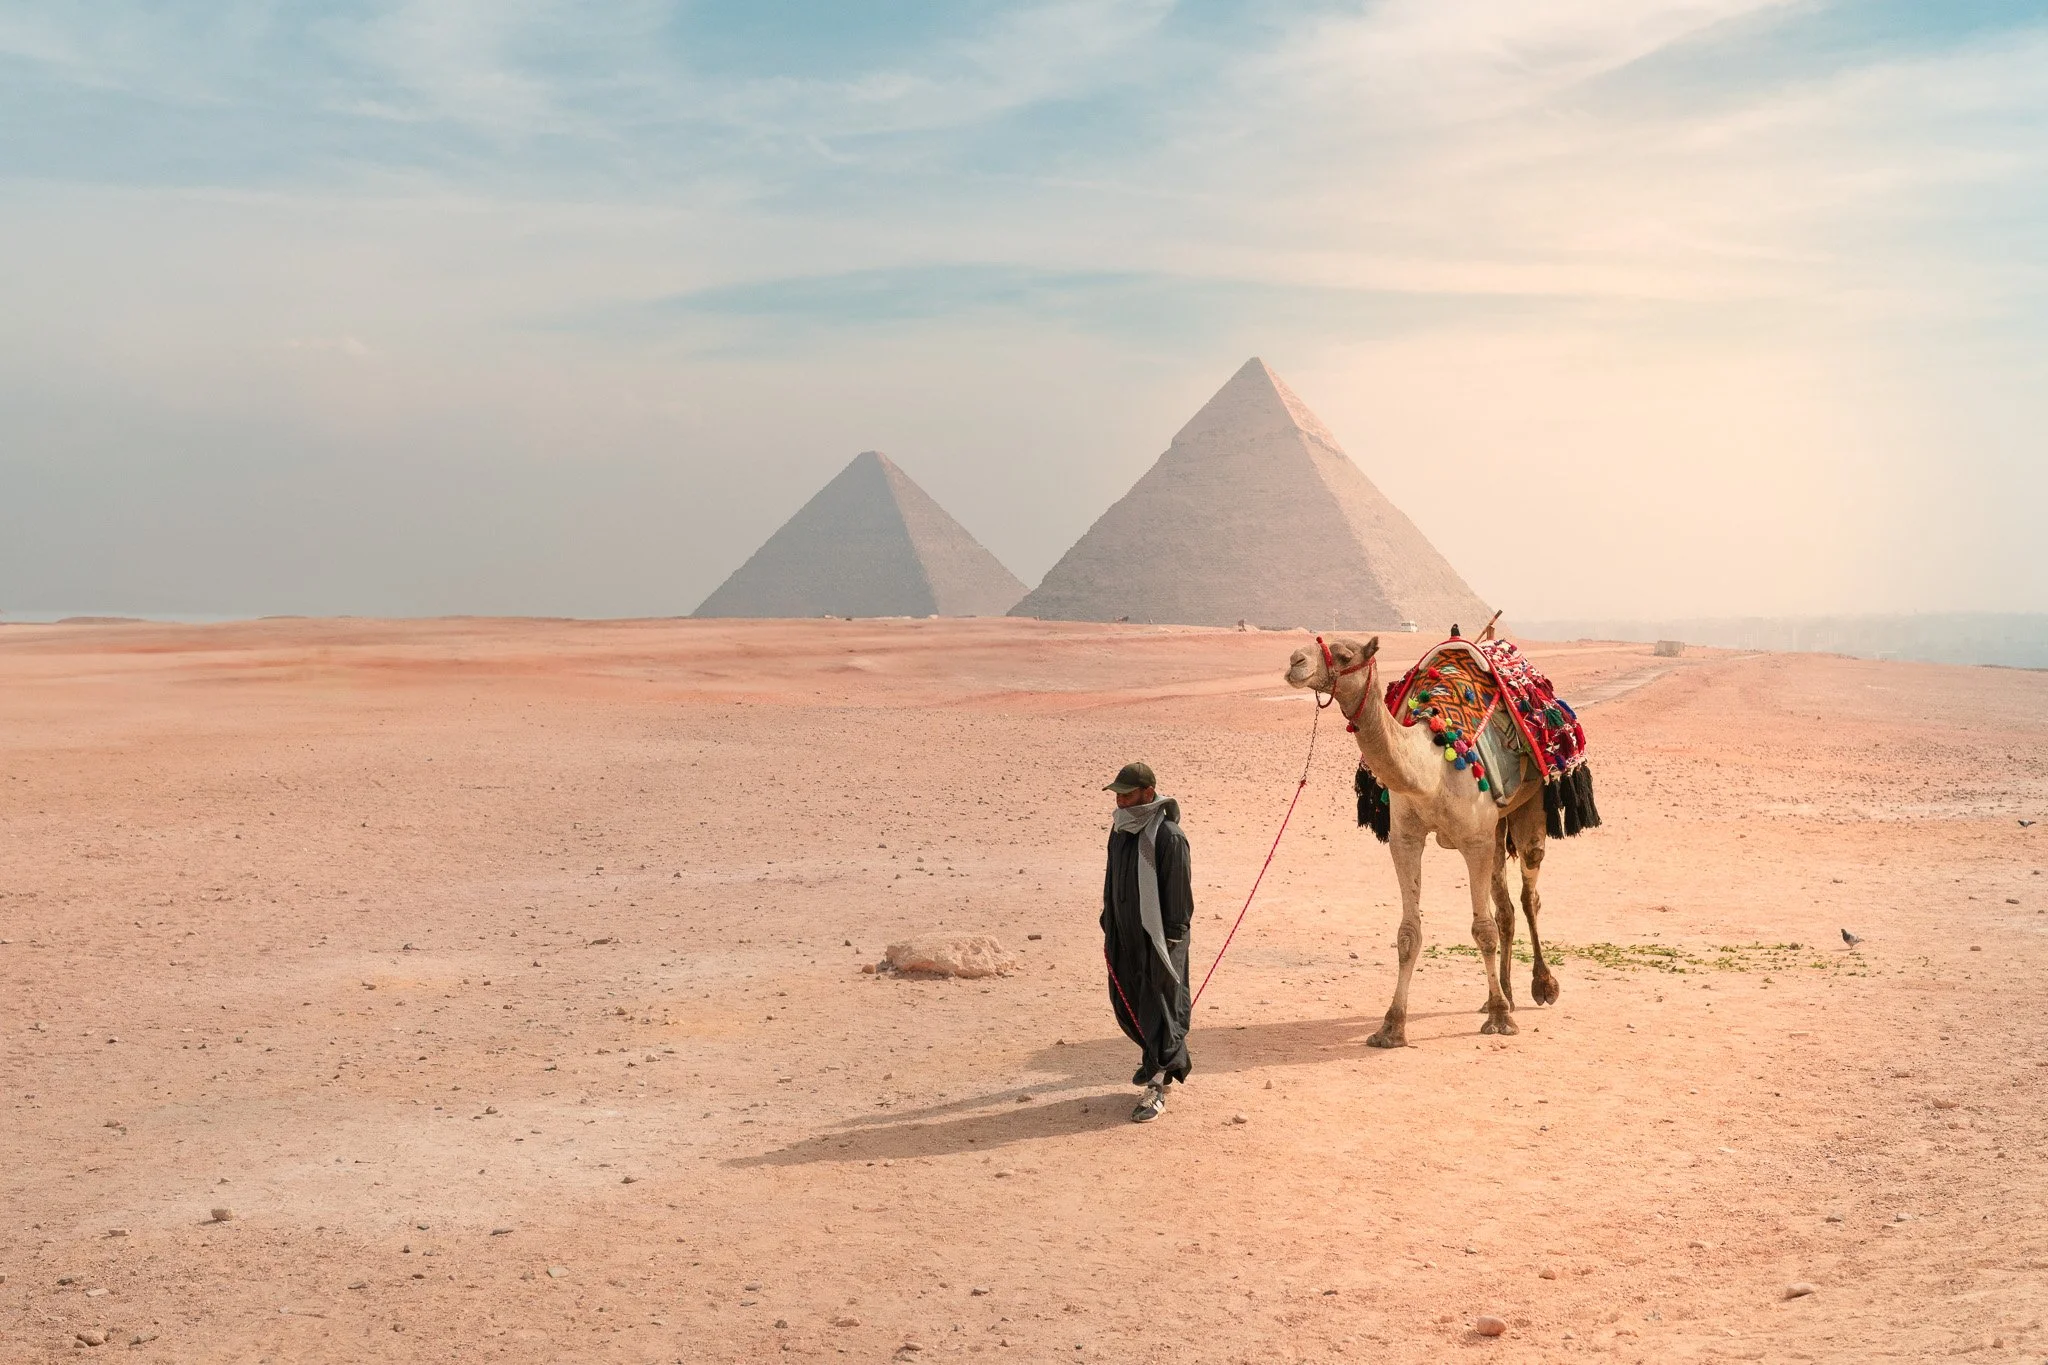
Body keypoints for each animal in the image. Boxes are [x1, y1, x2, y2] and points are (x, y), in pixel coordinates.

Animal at [1284, 635, 1557, 1047]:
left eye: (1346, 655)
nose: (1295, 661)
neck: (1433, 770)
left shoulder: (1473, 840)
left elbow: (1483, 930)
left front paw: (1500, 1020)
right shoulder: (1406, 838)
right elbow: (1408, 933)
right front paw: (1391, 1026)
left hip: (1530, 804)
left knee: (1529, 894)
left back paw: (1541, 986)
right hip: (1495, 829)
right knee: (1506, 908)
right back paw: (1504, 994)